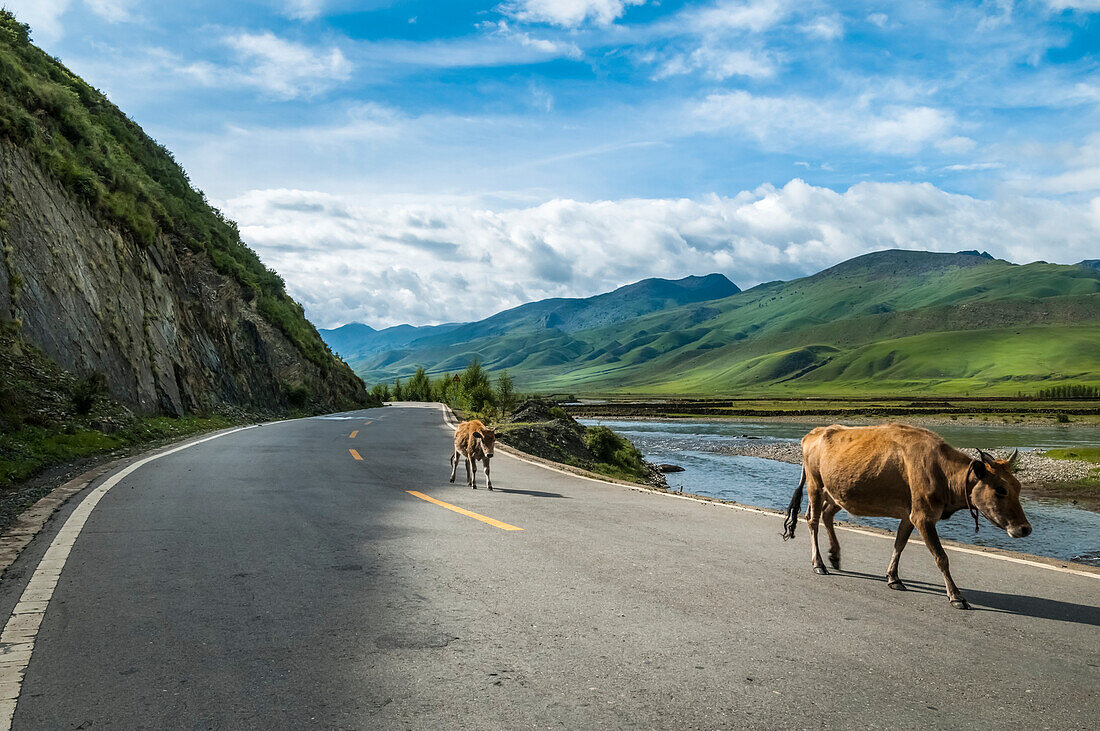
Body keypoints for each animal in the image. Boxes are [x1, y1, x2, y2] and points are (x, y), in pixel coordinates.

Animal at [783, 422, 1029, 611]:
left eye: (1018, 486)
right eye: (1000, 489)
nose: (1025, 528)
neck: (942, 471)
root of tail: (812, 434)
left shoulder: (909, 515)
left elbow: (899, 544)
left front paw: (893, 578)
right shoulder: (923, 516)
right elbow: (941, 557)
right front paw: (956, 596)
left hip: (836, 494)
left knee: (825, 516)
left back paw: (834, 556)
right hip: (815, 485)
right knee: (813, 520)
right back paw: (819, 564)